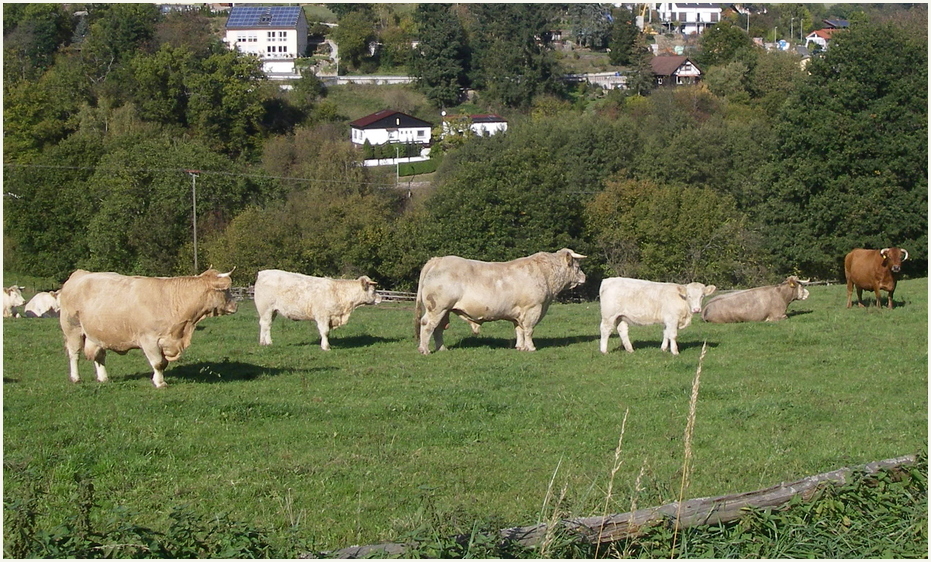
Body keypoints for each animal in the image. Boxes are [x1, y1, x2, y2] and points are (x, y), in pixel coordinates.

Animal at [58, 266, 238, 384]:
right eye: (226, 289)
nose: (235, 306)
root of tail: (80, 274)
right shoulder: (149, 340)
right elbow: (158, 363)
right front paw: (160, 383)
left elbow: (163, 363)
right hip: (72, 329)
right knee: (74, 354)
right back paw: (75, 378)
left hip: (97, 334)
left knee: (99, 356)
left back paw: (103, 378)